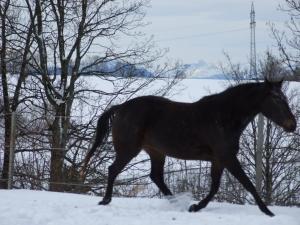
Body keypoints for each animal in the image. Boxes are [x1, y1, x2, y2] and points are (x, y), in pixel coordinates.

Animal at [81, 79, 296, 216]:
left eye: (284, 97)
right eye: (276, 98)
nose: (292, 125)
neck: (224, 117)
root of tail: (121, 107)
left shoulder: (218, 160)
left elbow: (215, 186)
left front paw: (195, 207)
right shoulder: (227, 157)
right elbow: (248, 184)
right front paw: (268, 212)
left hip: (156, 151)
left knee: (156, 177)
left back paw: (176, 203)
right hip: (129, 150)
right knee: (113, 169)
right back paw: (105, 200)